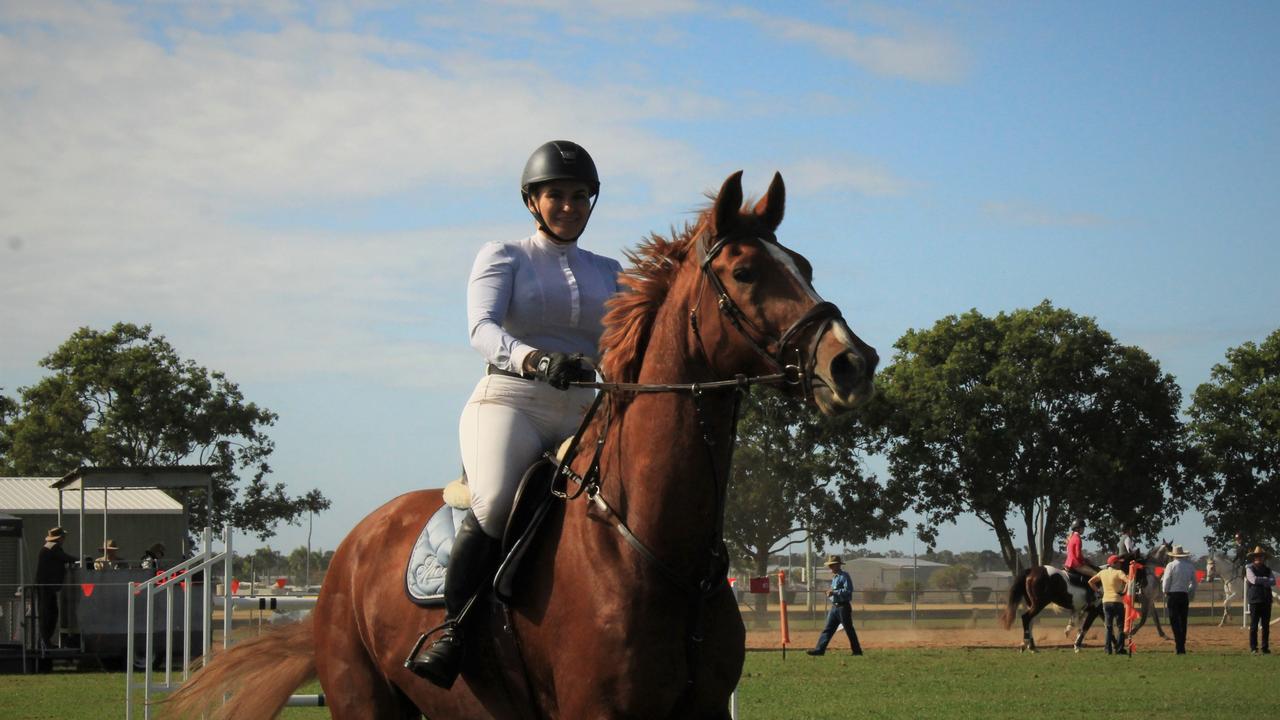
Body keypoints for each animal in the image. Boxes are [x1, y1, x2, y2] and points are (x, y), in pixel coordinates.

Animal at [160, 172, 880, 717]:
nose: (853, 363)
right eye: (747, 271)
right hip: (366, 700)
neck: (653, 545)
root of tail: (357, 540)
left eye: (804, 266)